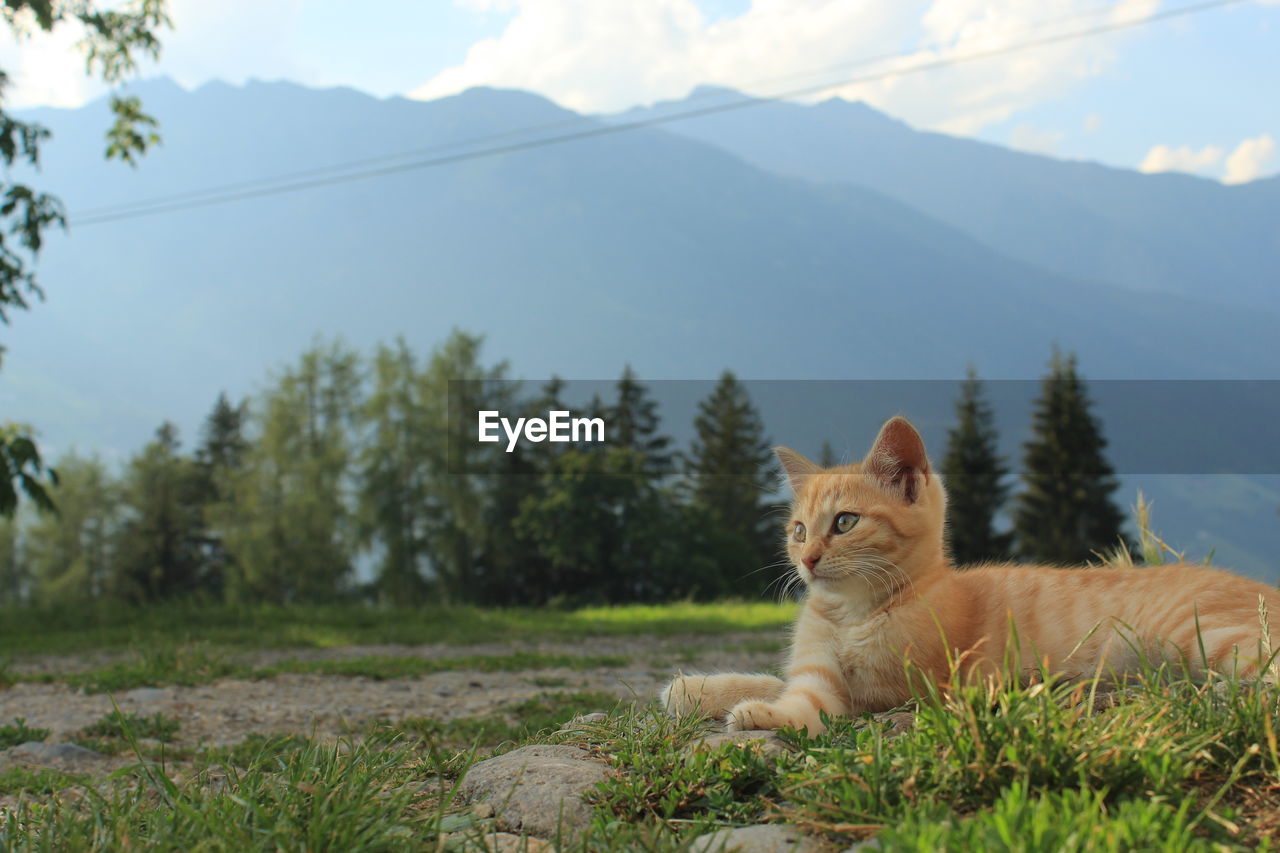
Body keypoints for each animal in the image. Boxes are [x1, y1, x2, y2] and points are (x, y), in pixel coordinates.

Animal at [665, 414, 1274, 727]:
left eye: (844, 522)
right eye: (797, 531)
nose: (808, 559)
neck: (853, 612)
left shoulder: (893, 689)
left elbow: (807, 703)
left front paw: (763, 716)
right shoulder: (815, 662)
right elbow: (775, 678)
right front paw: (698, 689)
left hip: (1202, 634)